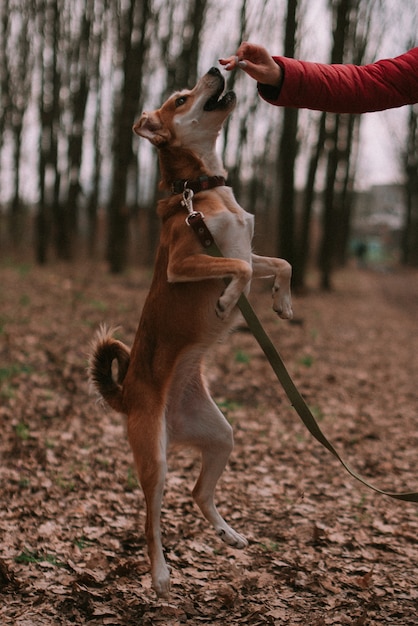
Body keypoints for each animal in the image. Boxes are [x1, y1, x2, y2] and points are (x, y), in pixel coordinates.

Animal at [90, 67, 292, 596]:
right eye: (182, 98)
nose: (218, 69)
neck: (201, 187)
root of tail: (128, 394)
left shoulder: (247, 247)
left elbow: (277, 263)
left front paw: (282, 301)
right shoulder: (185, 263)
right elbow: (240, 270)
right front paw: (226, 300)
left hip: (220, 436)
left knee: (199, 492)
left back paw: (227, 533)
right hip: (154, 460)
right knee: (151, 523)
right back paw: (161, 575)